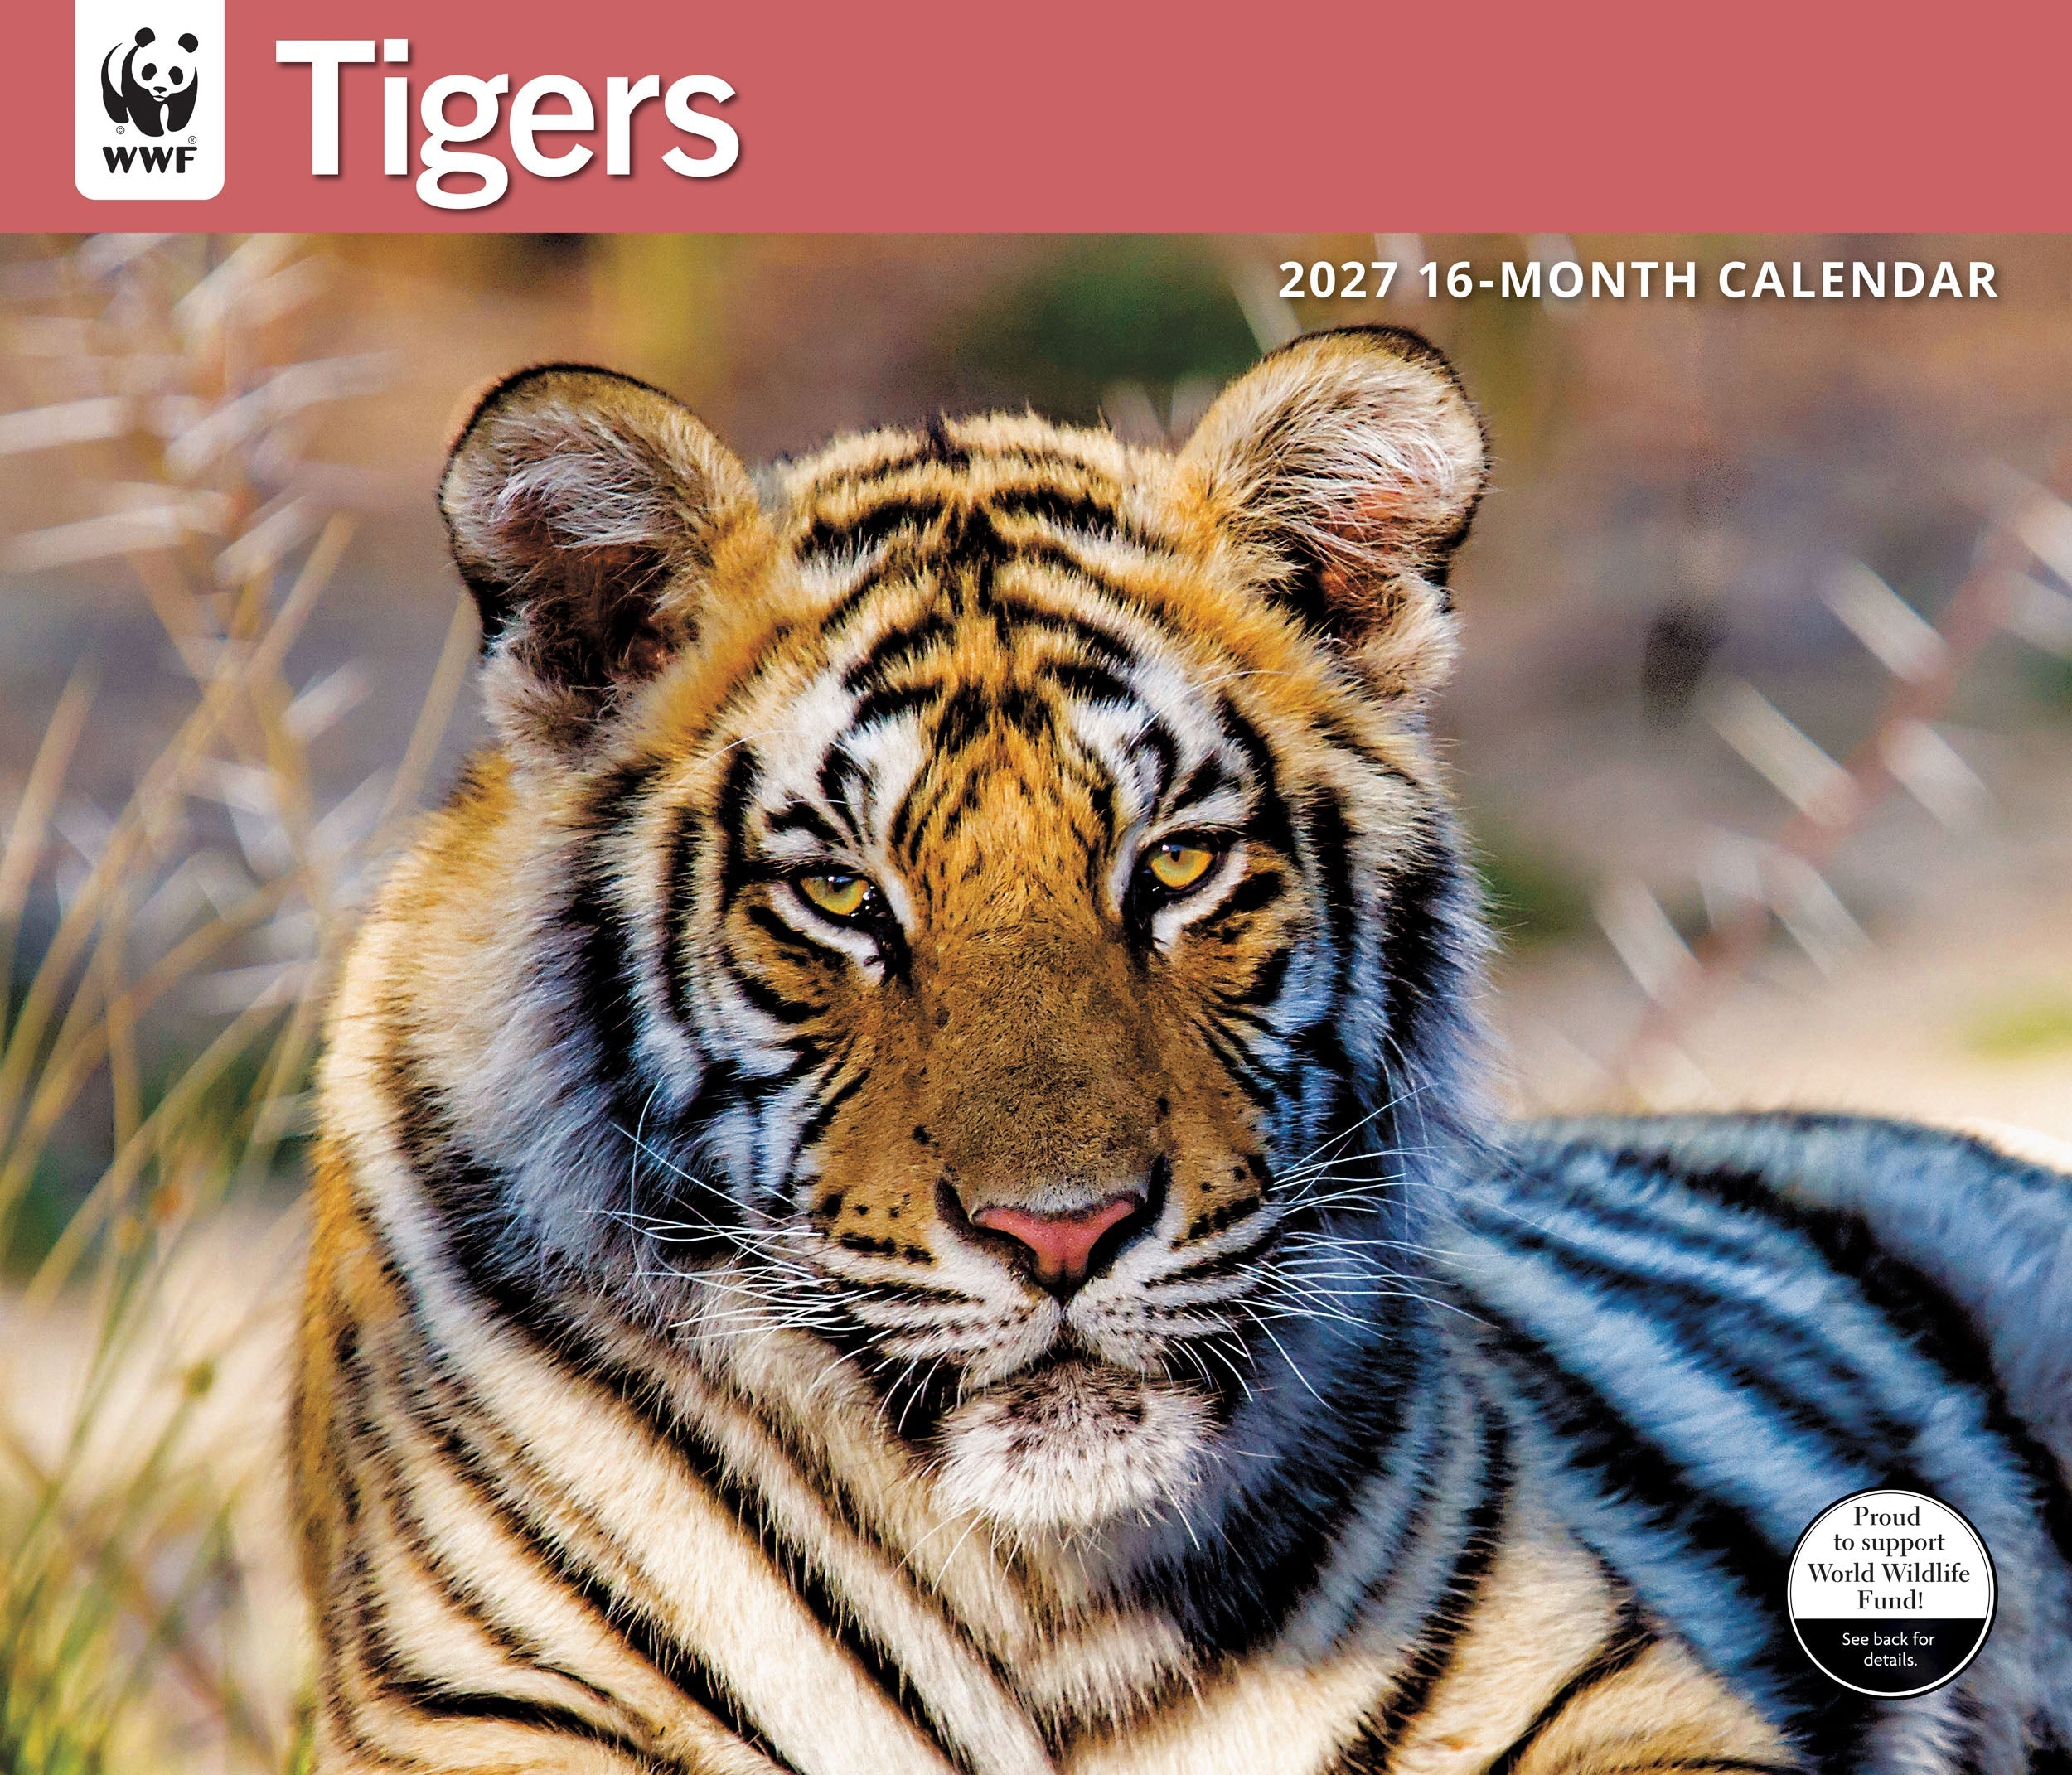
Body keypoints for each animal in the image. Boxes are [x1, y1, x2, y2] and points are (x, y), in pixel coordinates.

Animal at [295, 326, 2072, 1775]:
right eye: (841, 895)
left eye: (1175, 867)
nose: (1061, 1232)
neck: (1033, 1588)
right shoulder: (496, 1714)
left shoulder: (1608, 1688)